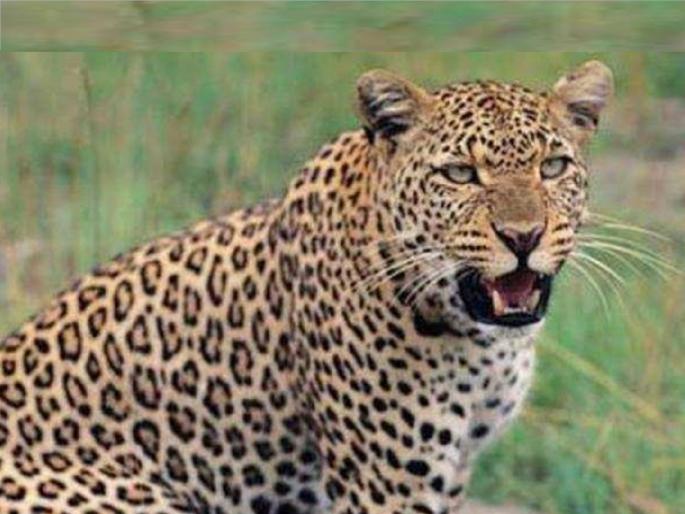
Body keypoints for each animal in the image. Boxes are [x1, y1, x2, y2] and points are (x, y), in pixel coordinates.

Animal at [0, 60, 613, 514]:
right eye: (460, 174)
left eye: (553, 167)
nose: (523, 235)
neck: (479, 343)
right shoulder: (388, 479)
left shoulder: (456, 464)